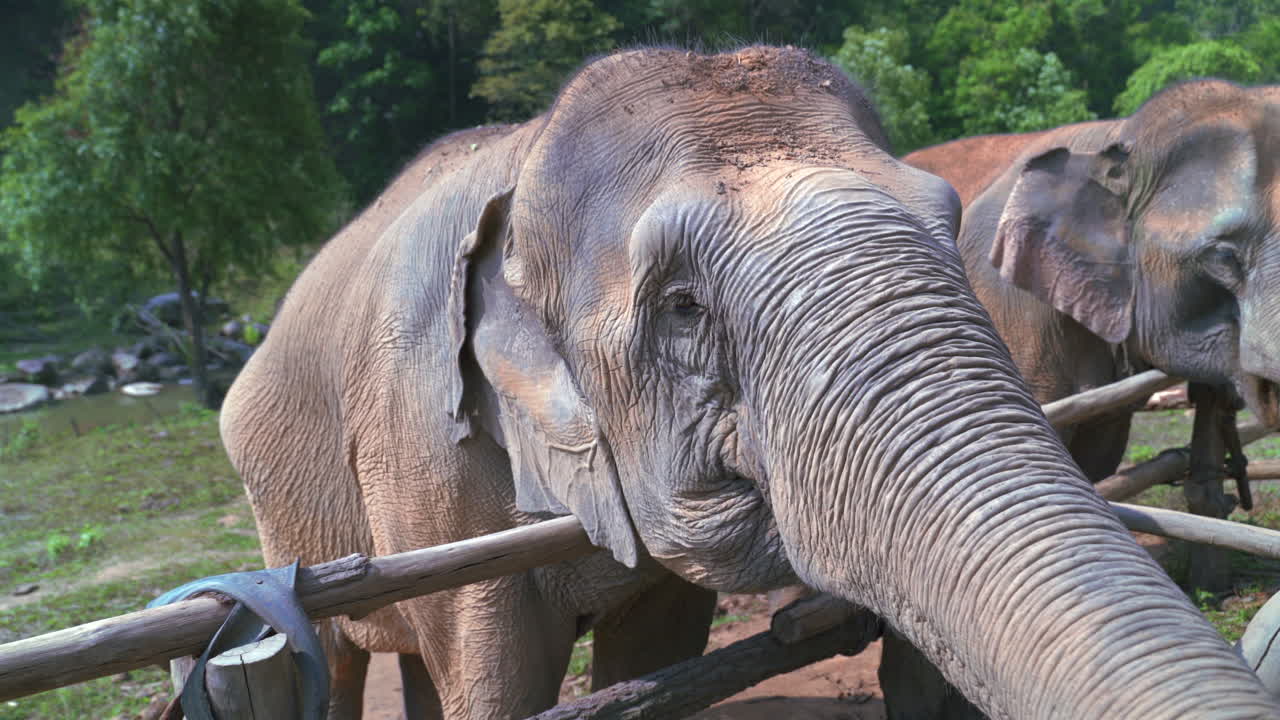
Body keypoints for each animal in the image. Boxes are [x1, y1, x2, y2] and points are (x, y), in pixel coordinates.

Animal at [220, 48, 1279, 720]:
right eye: (683, 306)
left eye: (949, 233)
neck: (525, 156)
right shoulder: (429, 461)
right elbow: (498, 687)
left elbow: (654, 657)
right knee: (341, 660)